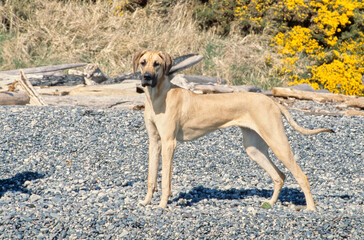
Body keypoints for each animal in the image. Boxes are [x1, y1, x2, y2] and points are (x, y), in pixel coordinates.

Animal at [134, 50, 332, 210]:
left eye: (157, 64)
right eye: (143, 62)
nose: (147, 77)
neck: (158, 95)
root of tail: (272, 101)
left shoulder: (169, 143)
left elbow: (165, 180)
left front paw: (162, 205)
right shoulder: (155, 142)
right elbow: (151, 177)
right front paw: (146, 202)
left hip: (278, 144)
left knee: (302, 176)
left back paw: (311, 208)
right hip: (254, 149)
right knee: (280, 175)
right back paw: (270, 203)